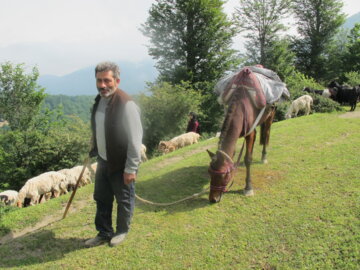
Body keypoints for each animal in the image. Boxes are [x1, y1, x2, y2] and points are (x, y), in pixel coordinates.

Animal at [205, 67, 278, 202]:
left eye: (224, 175)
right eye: (209, 173)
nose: (213, 199)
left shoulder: (250, 133)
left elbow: (248, 159)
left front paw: (248, 188)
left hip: (270, 116)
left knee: (266, 133)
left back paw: (264, 157)